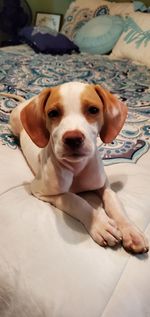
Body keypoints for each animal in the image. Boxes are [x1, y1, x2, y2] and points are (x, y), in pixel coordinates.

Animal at [8, 81, 149, 252]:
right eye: (53, 113)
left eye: (93, 110)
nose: (73, 138)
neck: (77, 167)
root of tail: (27, 101)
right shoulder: (40, 190)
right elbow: (74, 199)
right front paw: (100, 224)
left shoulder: (103, 183)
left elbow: (113, 201)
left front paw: (131, 230)